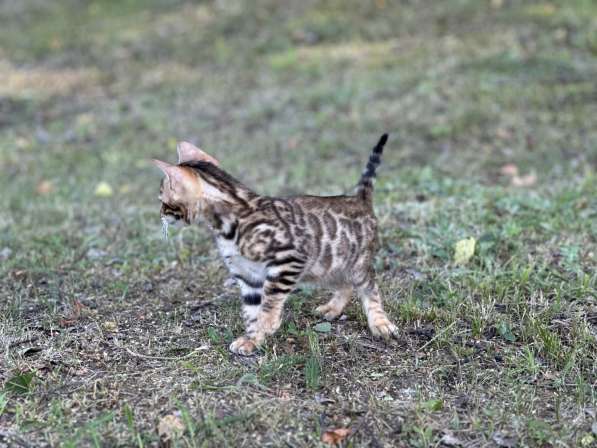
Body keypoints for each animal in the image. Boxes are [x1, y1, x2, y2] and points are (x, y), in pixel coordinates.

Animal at [154, 135, 396, 356]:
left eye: (163, 200)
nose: (160, 215)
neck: (230, 221)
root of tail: (360, 199)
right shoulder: (247, 275)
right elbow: (252, 311)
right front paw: (252, 339)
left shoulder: (289, 259)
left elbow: (270, 300)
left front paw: (268, 323)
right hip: (326, 266)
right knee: (345, 286)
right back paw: (332, 308)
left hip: (356, 264)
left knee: (370, 288)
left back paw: (380, 323)